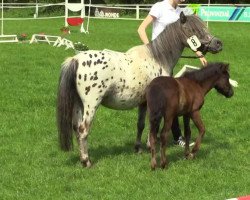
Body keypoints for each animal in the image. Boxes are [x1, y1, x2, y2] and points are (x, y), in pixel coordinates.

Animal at [56, 11, 223, 166]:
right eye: (193, 29)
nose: (218, 43)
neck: (158, 58)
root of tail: (76, 59)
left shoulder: (143, 102)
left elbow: (141, 124)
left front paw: (138, 148)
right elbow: (153, 125)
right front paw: (150, 146)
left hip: (78, 105)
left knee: (76, 128)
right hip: (91, 105)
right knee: (83, 130)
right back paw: (86, 161)